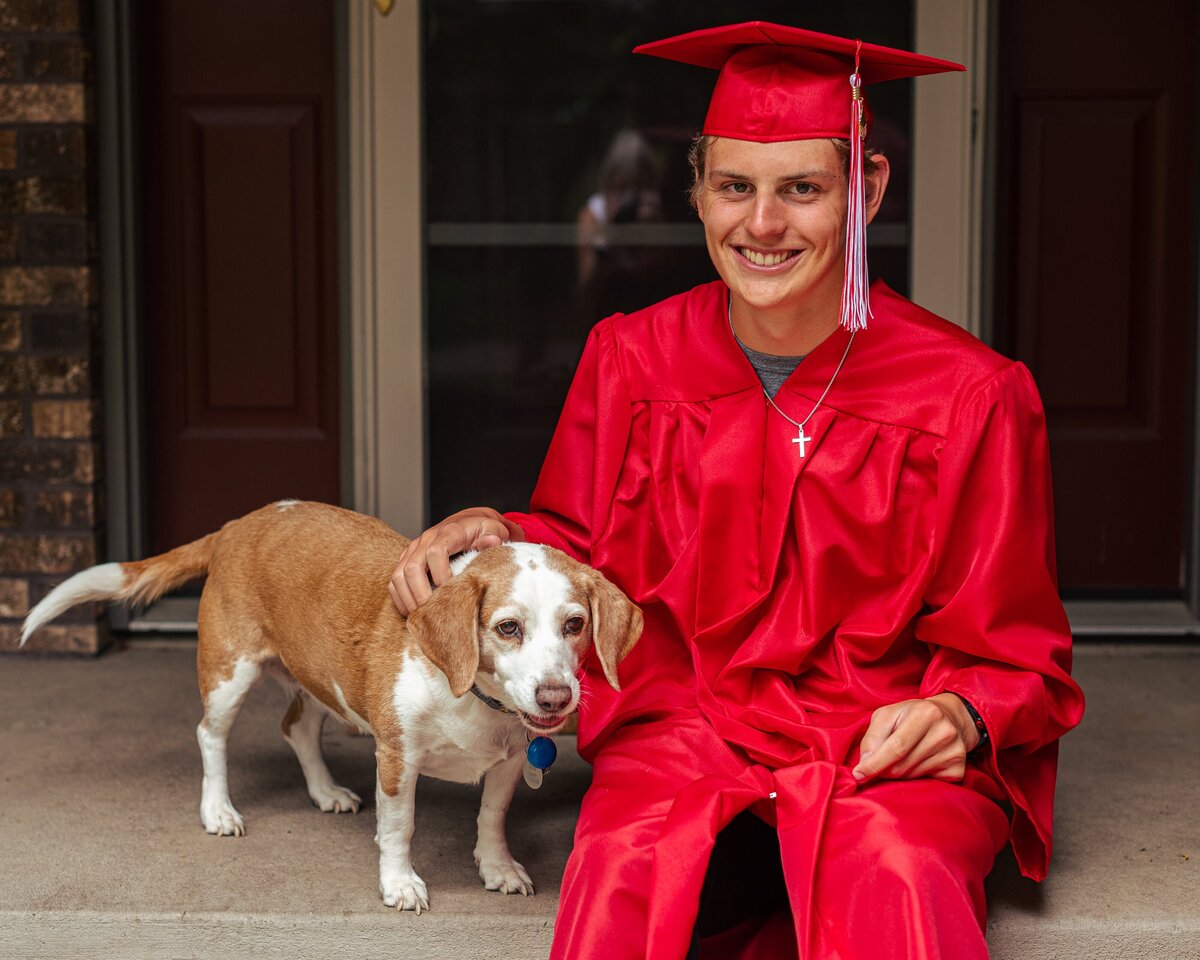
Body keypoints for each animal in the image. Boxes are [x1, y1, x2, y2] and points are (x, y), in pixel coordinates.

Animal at [21, 501, 638, 916]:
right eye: (508, 628)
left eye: (575, 624)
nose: (556, 697)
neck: (474, 697)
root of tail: (235, 525)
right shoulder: (397, 759)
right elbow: (399, 827)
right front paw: (399, 883)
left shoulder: (510, 759)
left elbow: (492, 816)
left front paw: (496, 867)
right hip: (229, 674)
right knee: (209, 736)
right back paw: (218, 809)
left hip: (319, 678)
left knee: (297, 727)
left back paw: (324, 791)